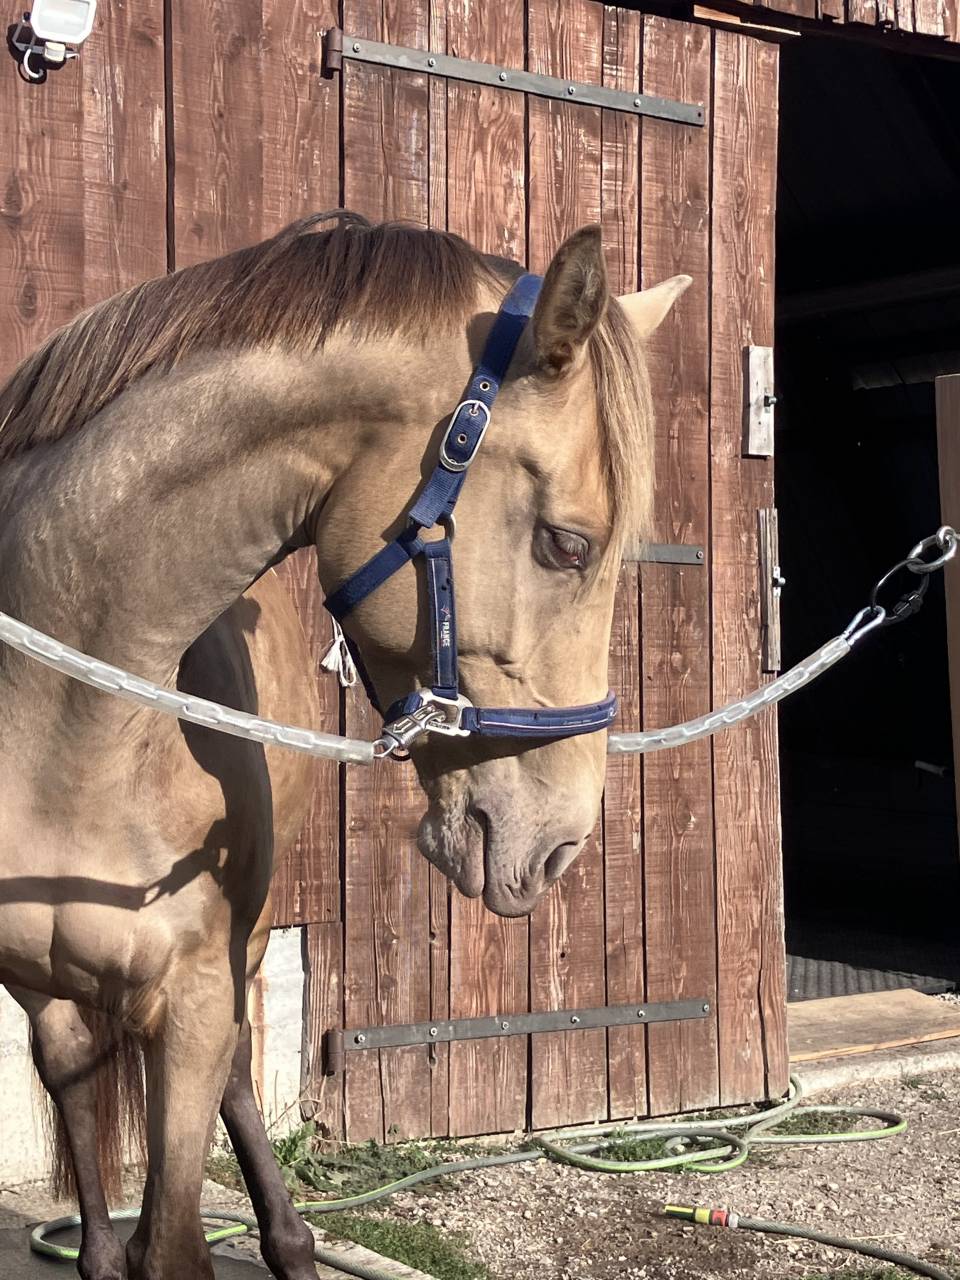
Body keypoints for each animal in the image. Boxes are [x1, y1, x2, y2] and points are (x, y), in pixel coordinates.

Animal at [0, 211, 689, 1280]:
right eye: (569, 544)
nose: (561, 845)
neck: (67, 733)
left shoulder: (192, 997)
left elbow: (177, 1229)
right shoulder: (36, 988)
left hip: (237, 947)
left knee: (236, 1072)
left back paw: (289, 1241)